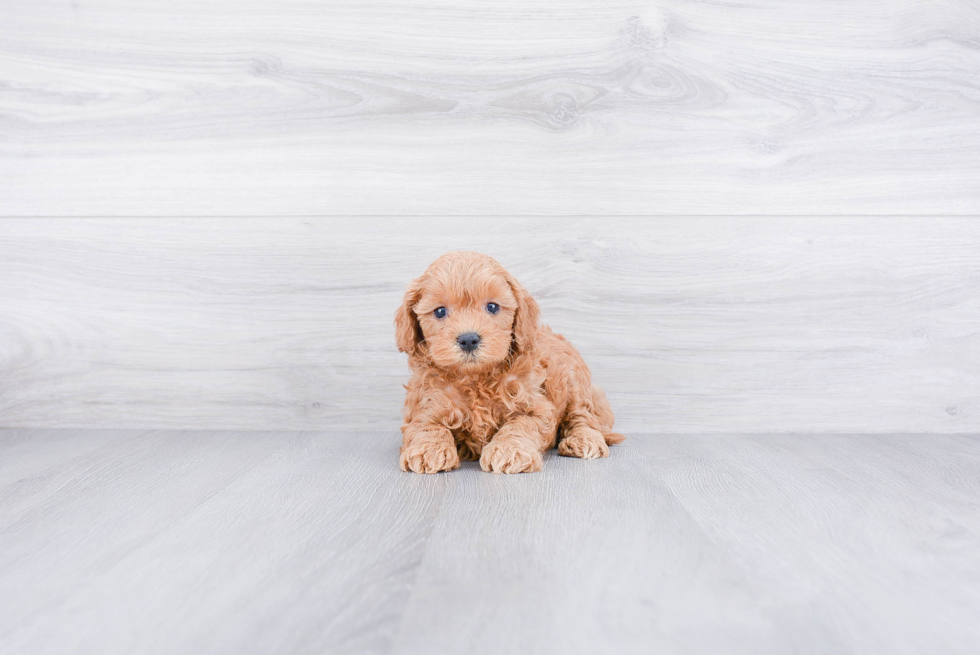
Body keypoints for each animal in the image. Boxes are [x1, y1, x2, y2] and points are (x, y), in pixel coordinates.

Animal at [394, 252, 624, 476]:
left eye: (492, 307)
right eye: (440, 311)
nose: (468, 339)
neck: (476, 378)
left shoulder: (537, 406)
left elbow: (520, 424)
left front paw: (509, 450)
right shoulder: (427, 403)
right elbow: (426, 426)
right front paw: (427, 449)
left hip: (576, 380)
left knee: (582, 414)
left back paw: (584, 439)